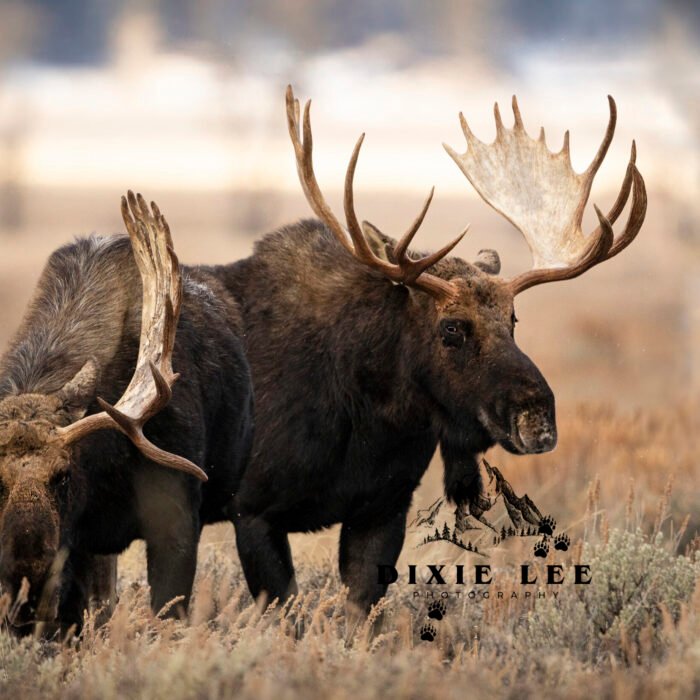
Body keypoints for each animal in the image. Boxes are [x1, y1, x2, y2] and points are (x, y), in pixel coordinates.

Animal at [0, 193, 253, 635]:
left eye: (63, 475)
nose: (27, 571)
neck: (105, 471)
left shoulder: (177, 521)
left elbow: (169, 612)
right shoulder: (78, 547)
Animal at [212, 86, 646, 629]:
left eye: (514, 319)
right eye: (451, 327)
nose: (538, 419)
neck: (365, 413)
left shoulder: (383, 508)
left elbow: (360, 617)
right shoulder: (252, 511)